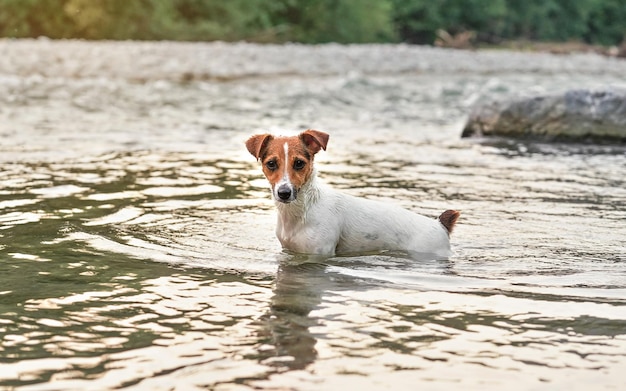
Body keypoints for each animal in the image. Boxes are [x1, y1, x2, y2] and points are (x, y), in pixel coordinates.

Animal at [245, 129, 458, 258]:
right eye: (271, 164)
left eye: (299, 163)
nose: (284, 192)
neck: (303, 209)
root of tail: (439, 224)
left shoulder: (319, 254)